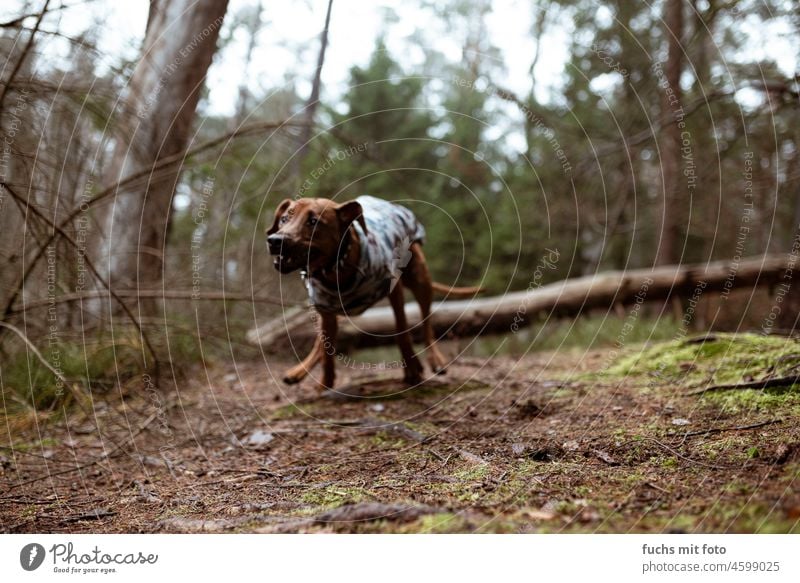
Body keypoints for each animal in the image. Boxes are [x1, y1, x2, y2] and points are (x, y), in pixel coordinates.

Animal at [268, 196, 482, 392]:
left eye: (313, 221)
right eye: (284, 219)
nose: (275, 241)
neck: (338, 267)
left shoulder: (394, 290)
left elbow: (402, 330)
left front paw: (412, 370)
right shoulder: (326, 310)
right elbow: (327, 351)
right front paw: (325, 385)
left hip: (420, 279)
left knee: (427, 323)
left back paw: (435, 359)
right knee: (321, 343)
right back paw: (298, 371)